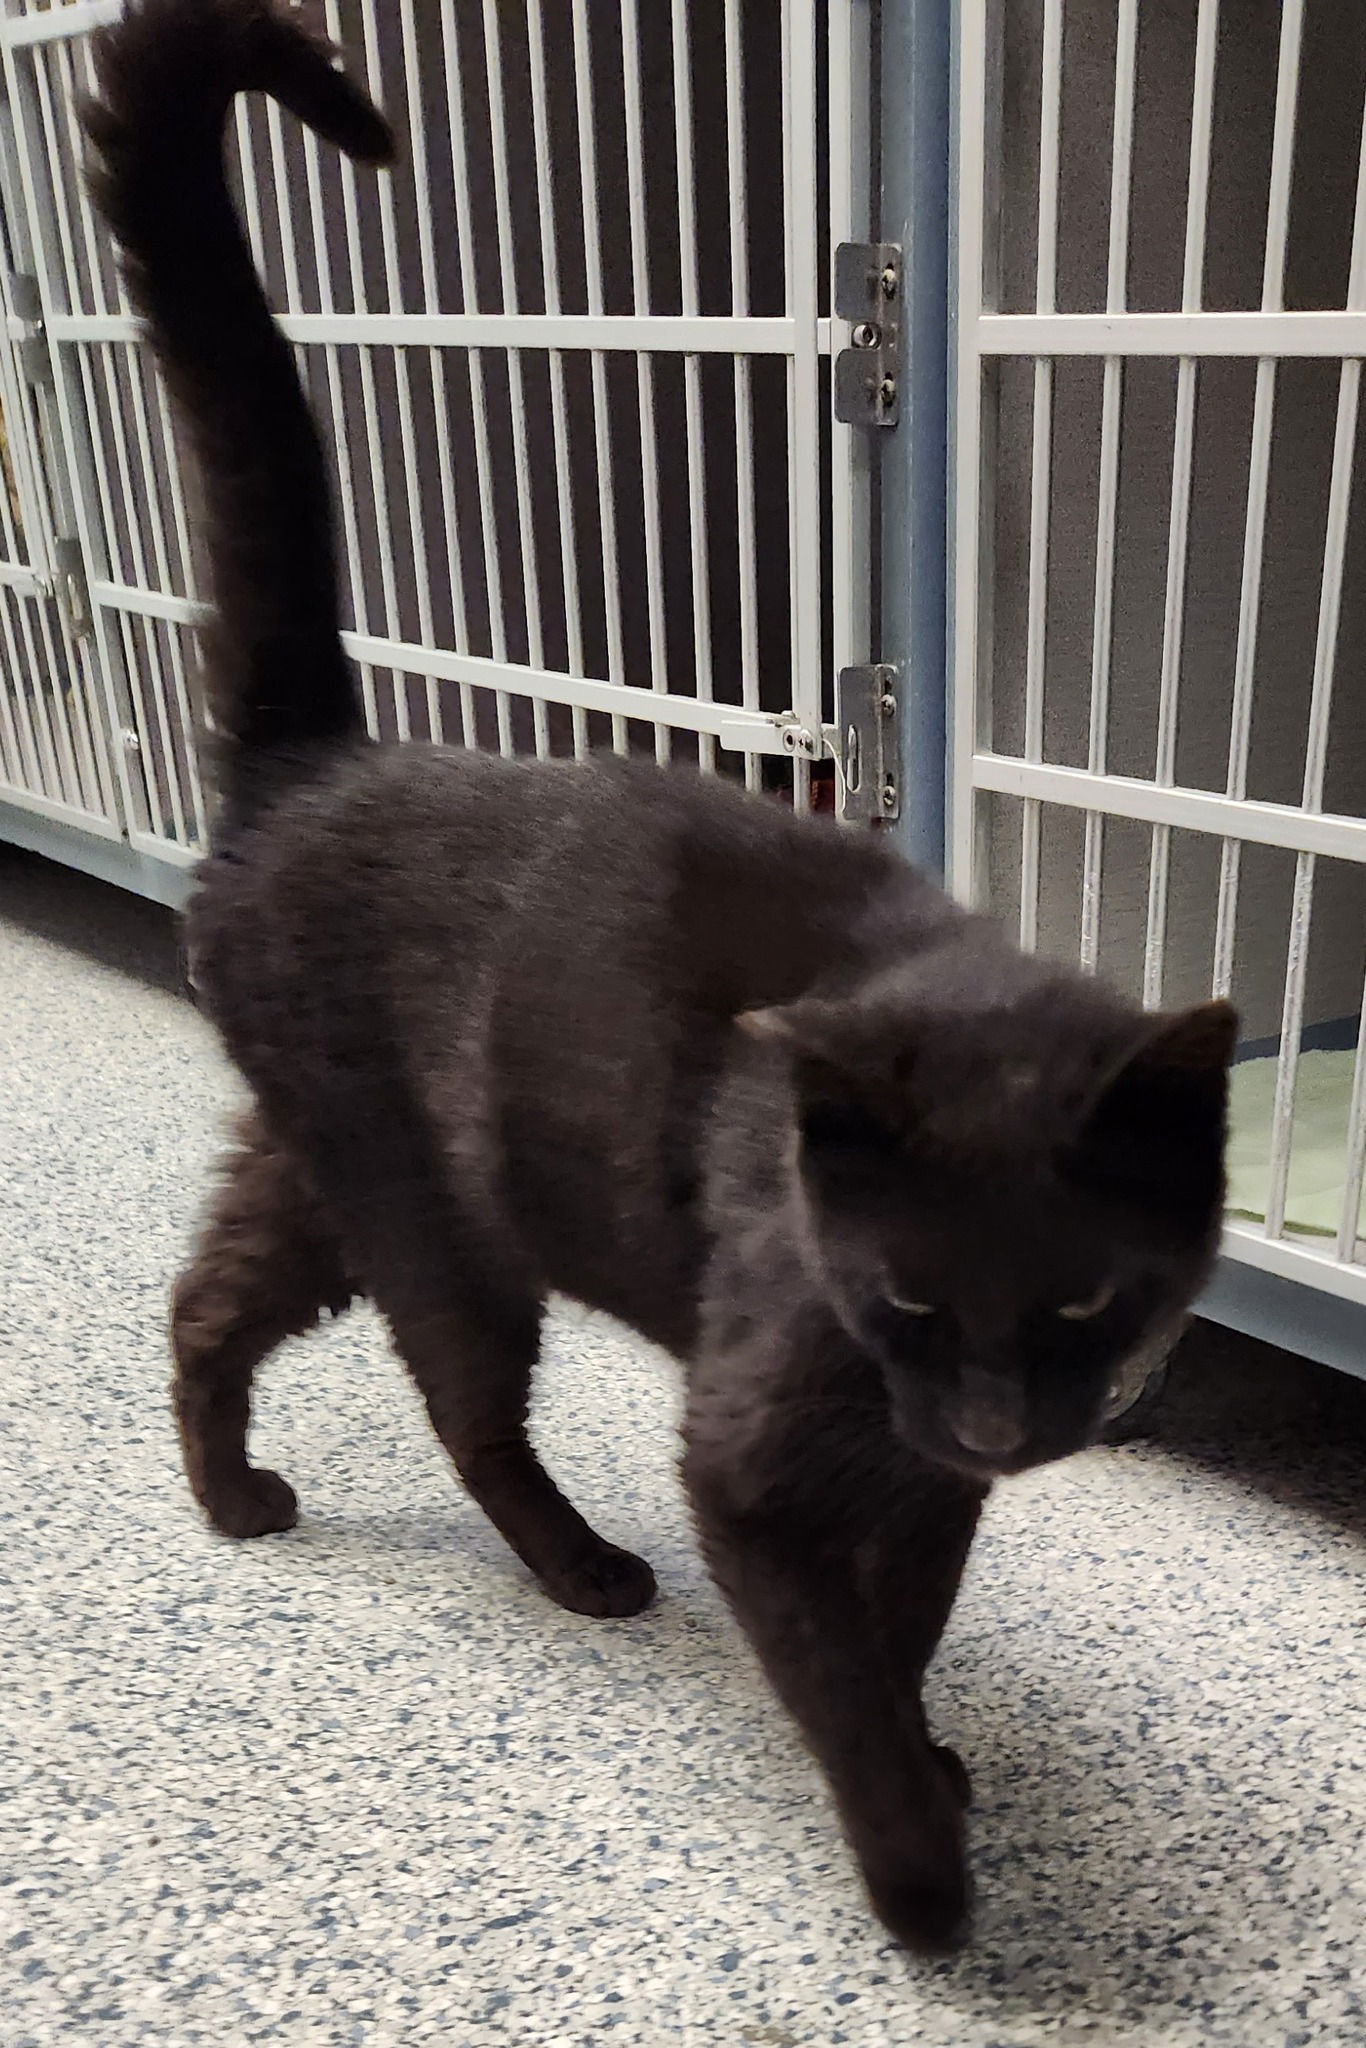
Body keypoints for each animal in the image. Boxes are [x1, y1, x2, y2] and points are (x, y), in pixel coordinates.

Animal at [85, 0, 1236, 1949]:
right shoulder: (758, 1466)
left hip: (332, 1161)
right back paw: (578, 1572)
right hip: (435, 1224)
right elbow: (836, 1672)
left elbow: (906, 1628)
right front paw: (920, 1882)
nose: (999, 1422)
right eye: (907, 1293)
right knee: (464, 1406)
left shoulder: (918, 1487)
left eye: (1090, 1298)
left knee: (209, 1296)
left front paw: (938, 1760)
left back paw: (234, 1498)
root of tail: (320, 763)